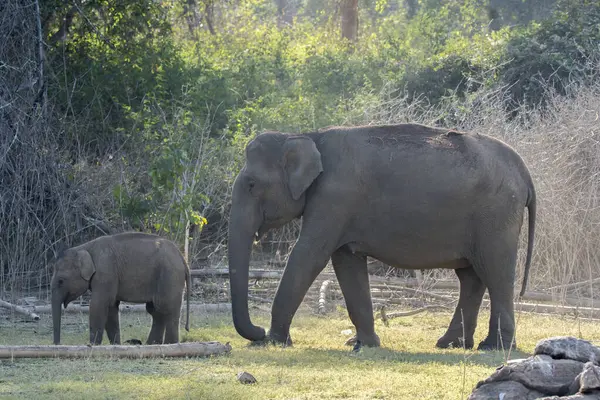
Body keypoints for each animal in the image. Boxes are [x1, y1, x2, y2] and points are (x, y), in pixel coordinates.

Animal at [53, 233, 191, 346]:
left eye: (61, 281)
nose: (57, 344)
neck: (84, 248)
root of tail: (183, 259)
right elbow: (111, 307)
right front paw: (116, 344)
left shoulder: (105, 273)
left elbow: (98, 305)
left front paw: (92, 345)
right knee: (155, 310)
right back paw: (152, 344)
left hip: (170, 277)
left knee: (167, 308)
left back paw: (170, 344)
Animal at [227, 122, 536, 350]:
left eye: (252, 184)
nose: (257, 330)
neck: (307, 135)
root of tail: (524, 170)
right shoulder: (340, 209)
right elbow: (346, 262)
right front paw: (363, 344)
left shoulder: (334, 199)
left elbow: (309, 255)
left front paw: (273, 341)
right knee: (472, 276)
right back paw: (451, 344)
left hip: (497, 216)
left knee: (496, 272)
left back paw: (493, 347)